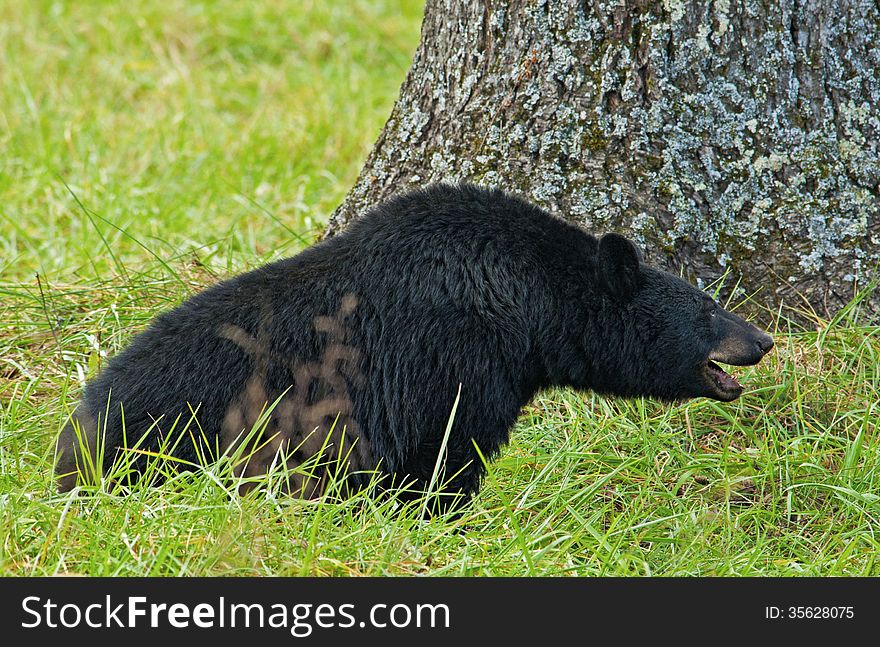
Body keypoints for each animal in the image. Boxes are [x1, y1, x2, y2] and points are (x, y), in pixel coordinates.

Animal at [55, 184, 772, 512]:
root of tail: (75, 430)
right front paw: (441, 516)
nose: (763, 340)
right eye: (709, 309)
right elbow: (444, 447)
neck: (525, 301)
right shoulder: (451, 354)